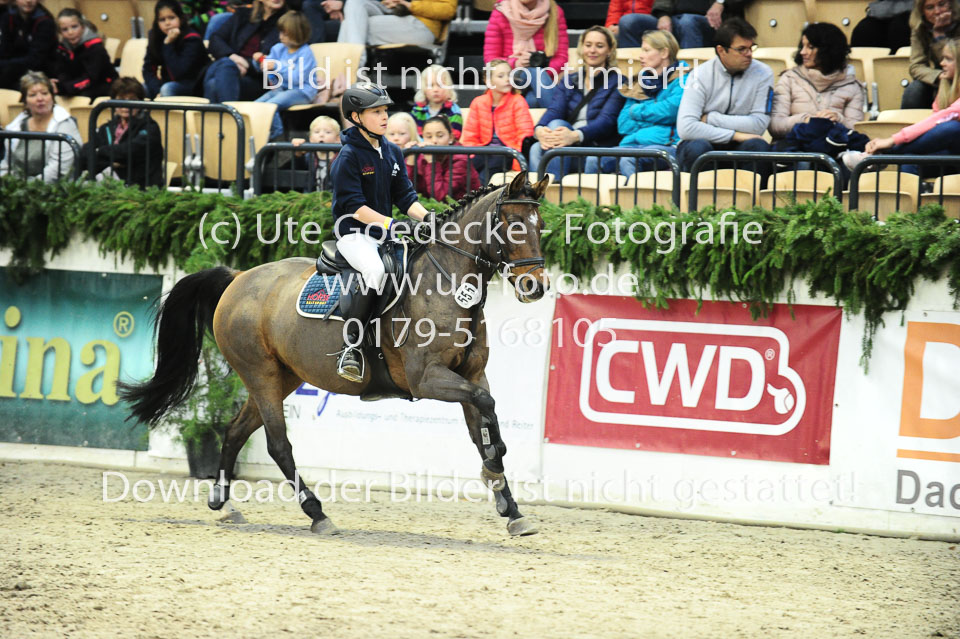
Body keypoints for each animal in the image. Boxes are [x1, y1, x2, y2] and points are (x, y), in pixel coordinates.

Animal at [119, 172, 551, 536]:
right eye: (513, 225)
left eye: (539, 226)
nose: (536, 287)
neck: (445, 283)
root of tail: (238, 278)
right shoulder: (427, 378)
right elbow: (486, 408)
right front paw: (496, 463)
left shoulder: (471, 374)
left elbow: (481, 420)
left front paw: (510, 505)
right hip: (260, 374)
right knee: (278, 445)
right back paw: (317, 513)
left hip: (281, 377)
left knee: (235, 431)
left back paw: (224, 504)